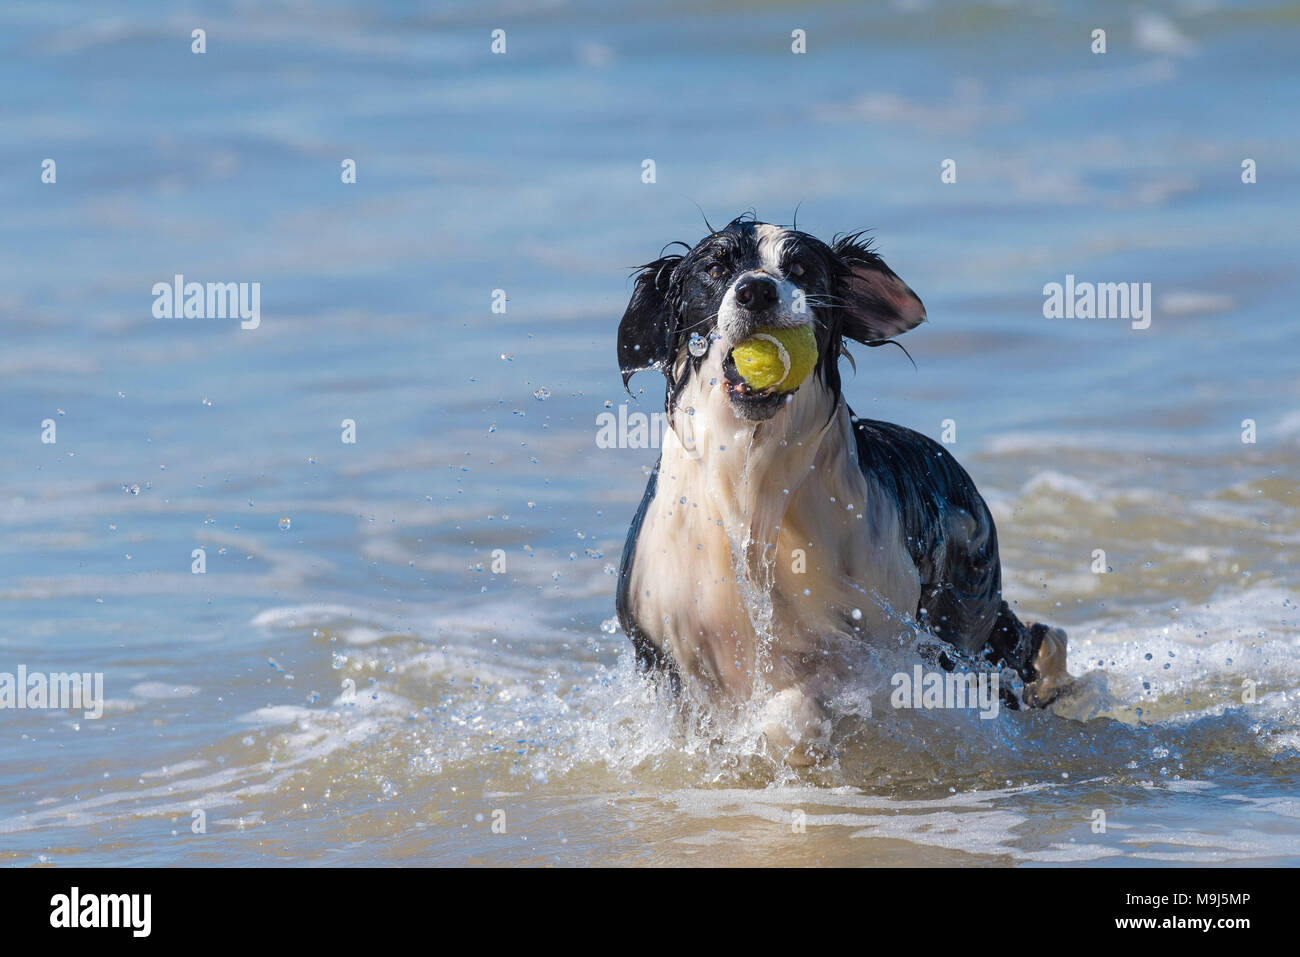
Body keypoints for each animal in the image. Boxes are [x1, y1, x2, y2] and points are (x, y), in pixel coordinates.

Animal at [613, 214, 1071, 764]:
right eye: (716, 268)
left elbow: (800, 705)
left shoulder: (882, 644)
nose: (756, 290)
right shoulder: (665, 647)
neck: (751, 478)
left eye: (800, 269)